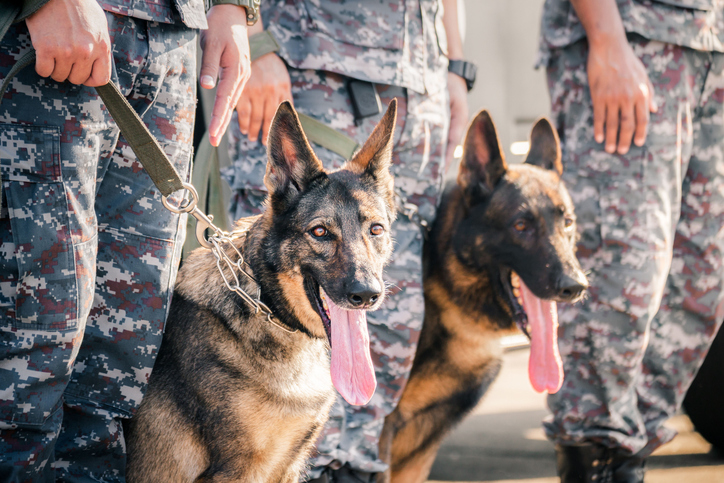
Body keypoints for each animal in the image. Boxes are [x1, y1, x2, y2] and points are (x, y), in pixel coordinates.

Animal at [123, 100, 396, 482]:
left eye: (376, 229)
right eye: (320, 232)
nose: (367, 294)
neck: (266, 309)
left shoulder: (289, 465)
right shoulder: (238, 470)